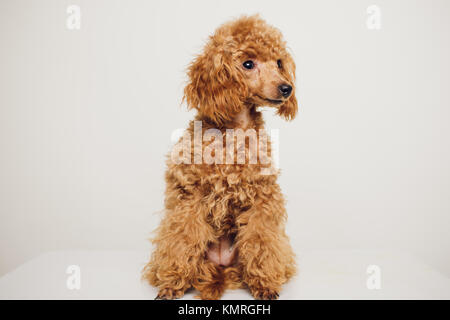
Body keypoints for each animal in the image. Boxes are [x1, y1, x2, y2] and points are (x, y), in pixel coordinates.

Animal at [144, 15, 298, 300]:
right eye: (248, 64)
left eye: (279, 62)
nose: (286, 88)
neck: (234, 134)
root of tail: (220, 270)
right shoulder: (189, 196)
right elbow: (182, 239)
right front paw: (172, 283)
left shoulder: (263, 198)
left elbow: (262, 239)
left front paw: (265, 284)